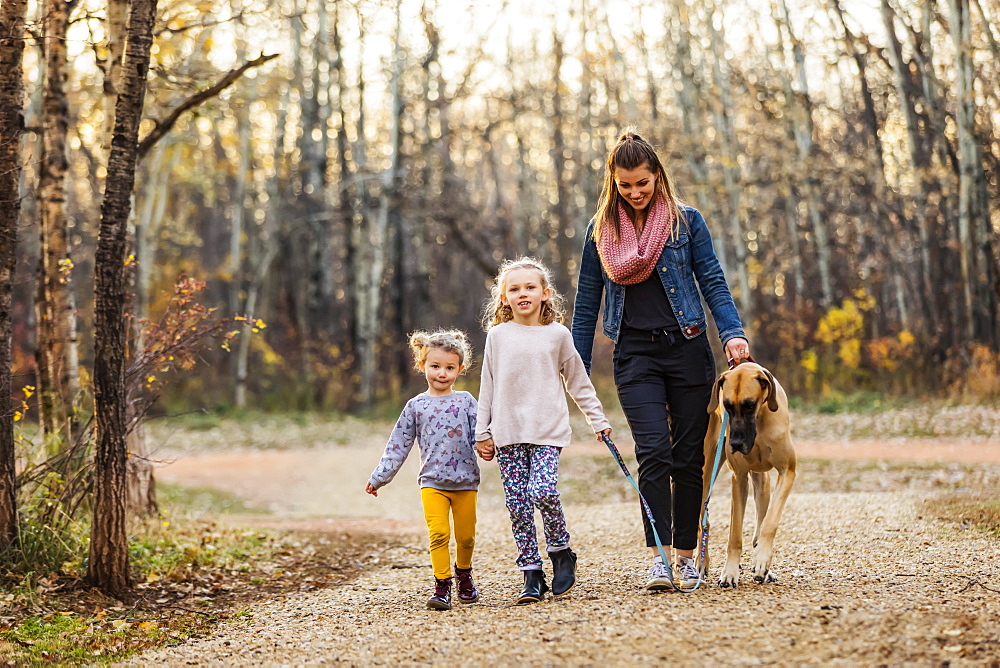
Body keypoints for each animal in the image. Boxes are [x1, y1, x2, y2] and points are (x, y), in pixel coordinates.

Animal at [704, 362, 796, 588]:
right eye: (727, 406)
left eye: (749, 405)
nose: (735, 443)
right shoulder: (739, 478)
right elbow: (735, 535)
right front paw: (729, 572)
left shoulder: (787, 471)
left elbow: (769, 522)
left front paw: (762, 560)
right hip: (706, 471)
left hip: (762, 482)